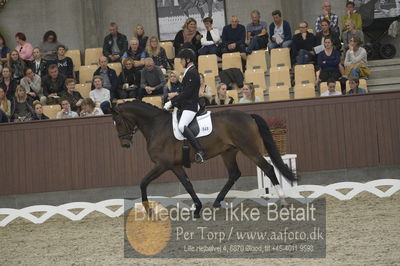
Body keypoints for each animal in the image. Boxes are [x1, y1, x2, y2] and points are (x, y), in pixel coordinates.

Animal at [111, 101, 296, 217]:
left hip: (249, 149)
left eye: (118, 122)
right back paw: (217, 202)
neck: (156, 125)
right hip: (228, 152)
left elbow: (143, 182)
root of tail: (249, 116)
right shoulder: (175, 166)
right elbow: (188, 185)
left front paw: (148, 210)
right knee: (234, 174)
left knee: (268, 168)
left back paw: (283, 200)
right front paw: (197, 208)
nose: (125, 144)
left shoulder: (162, 165)